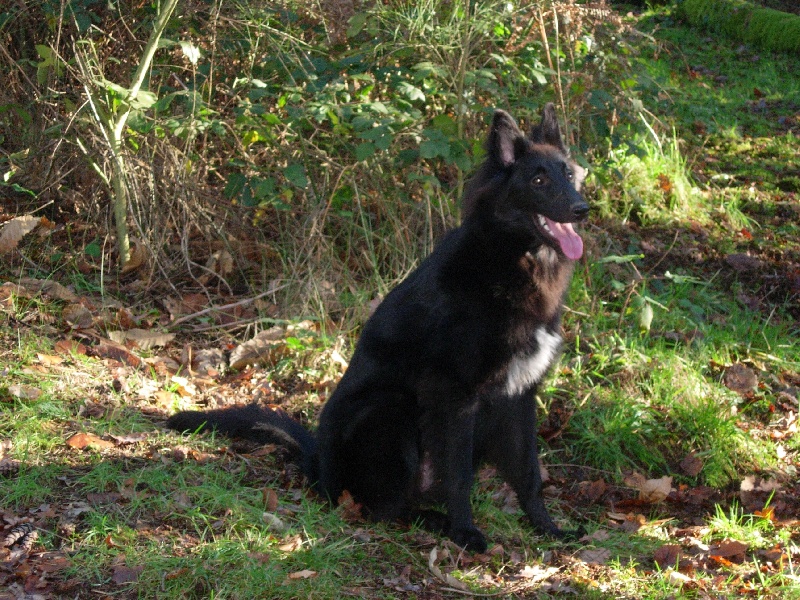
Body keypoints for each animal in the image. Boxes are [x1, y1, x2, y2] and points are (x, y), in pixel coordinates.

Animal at [167, 103, 588, 552]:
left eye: (568, 174)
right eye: (538, 180)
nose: (583, 209)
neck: (511, 260)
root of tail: (319, 468)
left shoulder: (520, 395)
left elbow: (529, 474)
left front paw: (547, 528)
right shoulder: (455, 397)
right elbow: (458, 476)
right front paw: (466, 532)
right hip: (390, 408)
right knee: (381, 507)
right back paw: (432, 521)